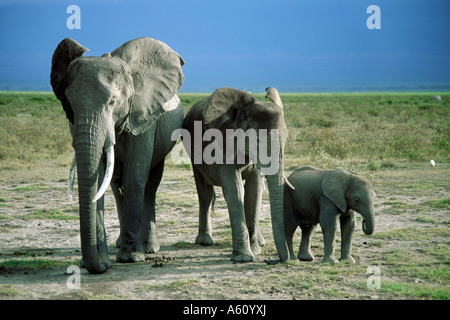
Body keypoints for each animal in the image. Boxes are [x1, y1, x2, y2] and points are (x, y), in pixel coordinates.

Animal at [51, 37, 185, 272]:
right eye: (70, 105)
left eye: (112, 102)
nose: (100, 267)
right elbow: (98, 181)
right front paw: (102, 259)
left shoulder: (143, 118)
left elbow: (135, 178)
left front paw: (131, 258)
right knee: (115, 187)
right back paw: (122, 244)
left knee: (150, 185)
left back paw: (148, 248)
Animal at [180, 87, 290, 262]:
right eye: (257, 140)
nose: (273, 260)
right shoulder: (222, 146)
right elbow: (235, 190)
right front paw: (244, 258)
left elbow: (254, 192)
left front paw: (255, 251)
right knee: (204, 194)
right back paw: (204, 241)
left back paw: (260, 242)